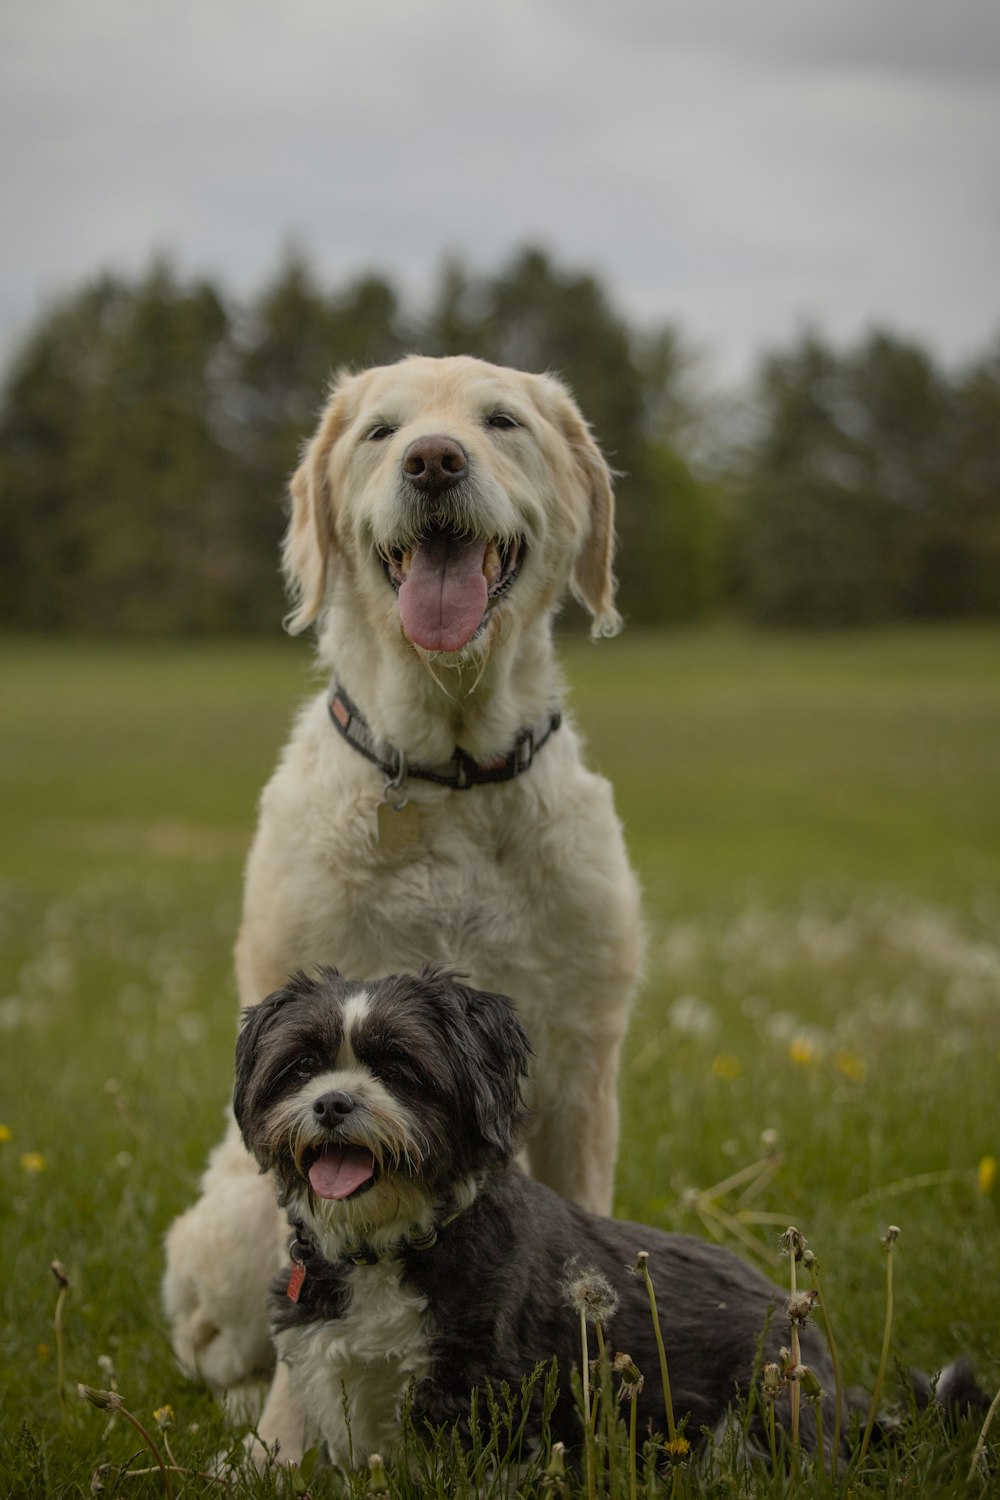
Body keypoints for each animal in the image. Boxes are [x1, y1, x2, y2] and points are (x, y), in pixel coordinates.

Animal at [235, 960, 851, 1464]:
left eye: (398, 1065)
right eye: (301, 1065)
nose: (331, 1102)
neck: (395, 1245)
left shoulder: (482, 1393)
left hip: (765, 1409)